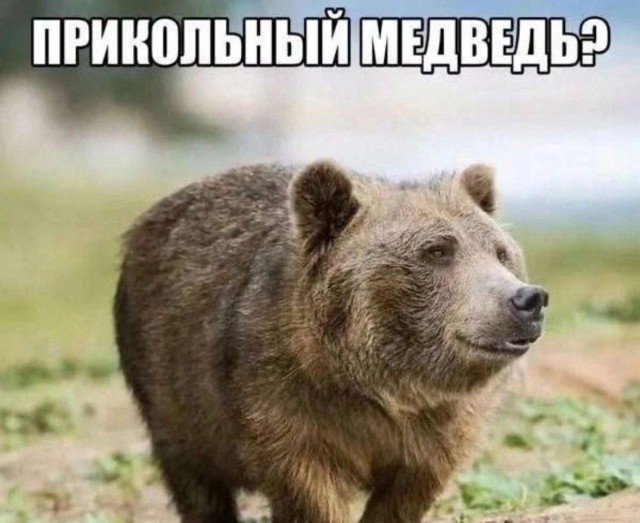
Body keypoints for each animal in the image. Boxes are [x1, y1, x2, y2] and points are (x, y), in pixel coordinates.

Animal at [114, 160, 548, 523]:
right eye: (438, 250)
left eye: (500, 252)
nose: (527, 299)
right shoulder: (280, 399)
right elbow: (308, 489)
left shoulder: (440, 427)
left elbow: (407, 493)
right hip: (167, 384)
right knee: (194, 480)